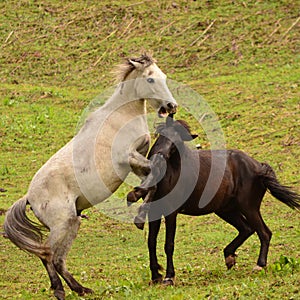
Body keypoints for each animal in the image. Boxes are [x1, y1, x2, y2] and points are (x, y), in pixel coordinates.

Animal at [3, 54, 177, 300]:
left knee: (58, 259)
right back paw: (59, 289)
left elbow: (150, 181)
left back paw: (80, 288)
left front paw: (139, 208)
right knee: (47, 253)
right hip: (62, 224)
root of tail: (29, 197)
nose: (171, 106)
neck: (121, 115)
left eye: (163, 76)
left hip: (73, 223)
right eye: (151, 79)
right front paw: (135, 202)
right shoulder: (128, 157)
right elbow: (153, 173)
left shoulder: (138, 159)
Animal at [127, 116, 300, 284]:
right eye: (161, 134)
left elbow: (169, 244)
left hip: (249, 208)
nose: (157, 158)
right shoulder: (154, 212)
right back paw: (229, 257)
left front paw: (169, 277)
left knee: (264, 232)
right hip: (226, 210)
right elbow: (151, 242)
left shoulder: (171, 213)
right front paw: (155, 276)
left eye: (176, 143)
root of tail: (258, 166)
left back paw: (259, 265)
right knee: (247, 229)